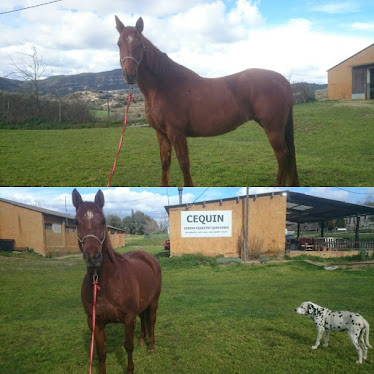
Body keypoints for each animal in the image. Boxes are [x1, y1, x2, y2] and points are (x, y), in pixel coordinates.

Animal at [72, 190, 161, 374]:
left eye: (103, 221)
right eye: (76, 221)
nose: (93, 257)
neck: (106, 283)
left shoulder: (128, 317)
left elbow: (128, 346)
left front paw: (130, 369)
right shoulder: (95, 323)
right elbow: (101, 353)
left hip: (154, 302)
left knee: (152, 320)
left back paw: (150, 346)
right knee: (144, 318)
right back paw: (142, 340)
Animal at [115, 15, 300, 186]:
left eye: (139, 44)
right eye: (119, 44)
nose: (129, 75)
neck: (164, 86)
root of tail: (283, 80)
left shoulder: (176, 133)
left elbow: (184, 164)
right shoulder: (161, 134)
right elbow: (165, 163)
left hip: (273, 128)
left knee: (283, 156)